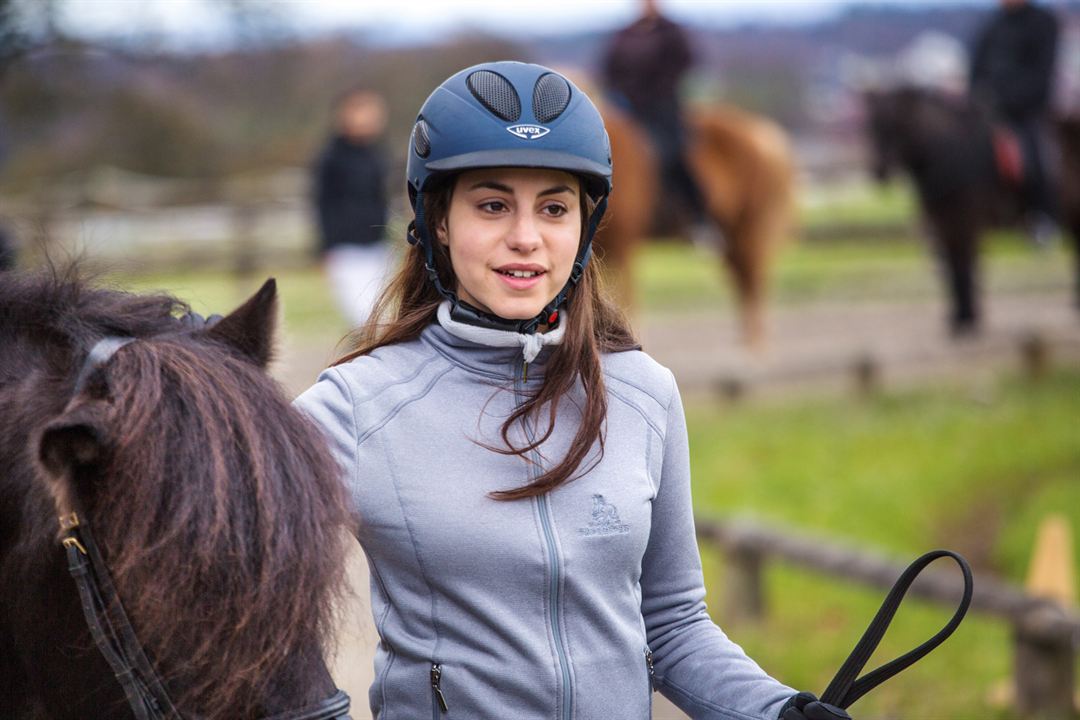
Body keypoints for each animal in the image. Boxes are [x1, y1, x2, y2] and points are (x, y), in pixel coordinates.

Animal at [600, 102, 794, 349]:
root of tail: (765, 135)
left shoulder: (623, 246)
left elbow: (628, 305)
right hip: (733, 242)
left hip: (751, 233)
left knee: (753, 296)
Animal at [864, 85, 1080, 334]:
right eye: (872, 126)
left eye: (899, 125)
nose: (879, 171)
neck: (952, 154)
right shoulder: (944, 224)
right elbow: (954, 267)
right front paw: (960, 316)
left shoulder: (965, 222)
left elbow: (963, 266)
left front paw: (966, 317)